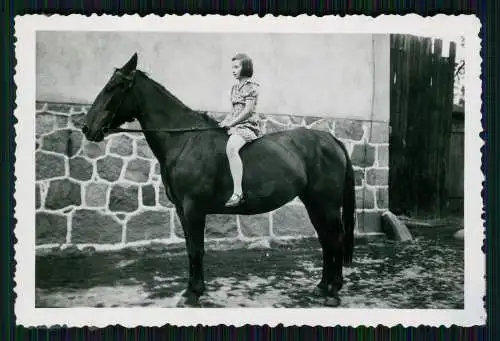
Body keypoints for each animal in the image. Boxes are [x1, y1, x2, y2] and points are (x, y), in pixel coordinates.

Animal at [82, 52, 356, 306]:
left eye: (113, 87)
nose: (86, 128)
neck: (184, 141)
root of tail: (330, 139)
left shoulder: (193, 209)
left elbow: (197, 249)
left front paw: (193, 293)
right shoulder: (182, 210)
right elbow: (191, 248)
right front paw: (191, 290)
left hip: (328, 205)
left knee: (335, 239)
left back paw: (333, 292)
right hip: (314, 203)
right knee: (326, 240)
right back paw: (323, 287)